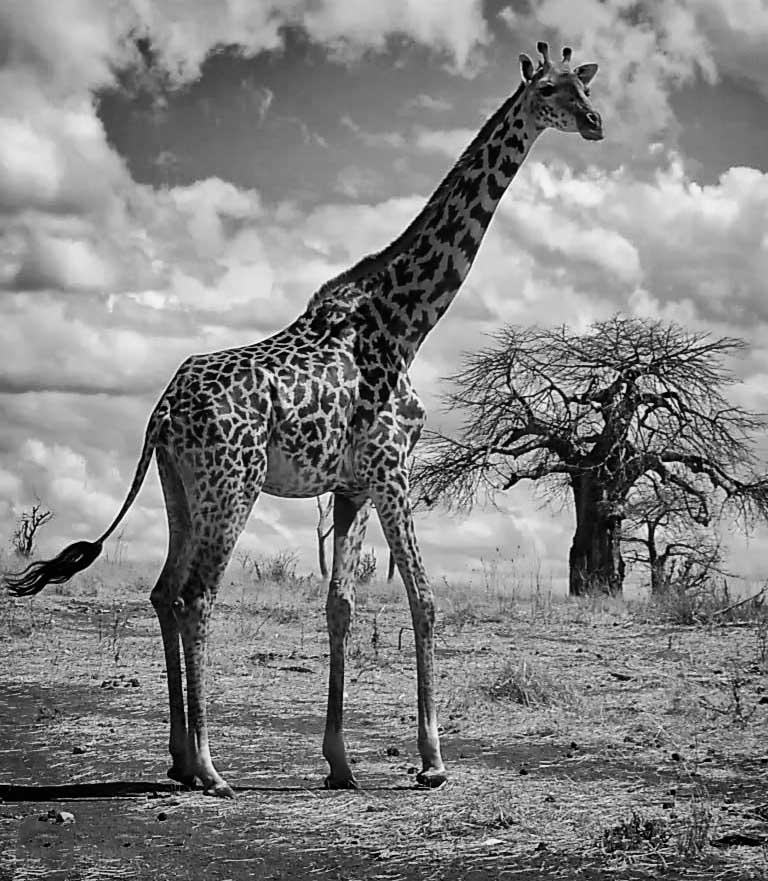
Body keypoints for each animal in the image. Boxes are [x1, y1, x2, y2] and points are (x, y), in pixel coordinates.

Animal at [5, 42, 602, 798]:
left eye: (584, 87)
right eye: (549, 89)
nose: (596, 123)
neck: (405, 320)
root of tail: (160, 412)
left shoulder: (348, 486)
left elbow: (339, 606)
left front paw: (340, 761)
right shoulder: (392, 468)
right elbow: (424, 599)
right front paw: (432, 759)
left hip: (180, 488)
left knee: (165, 591)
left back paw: (179, 759)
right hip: (232, 484)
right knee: (197, 596)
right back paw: (211, 767)